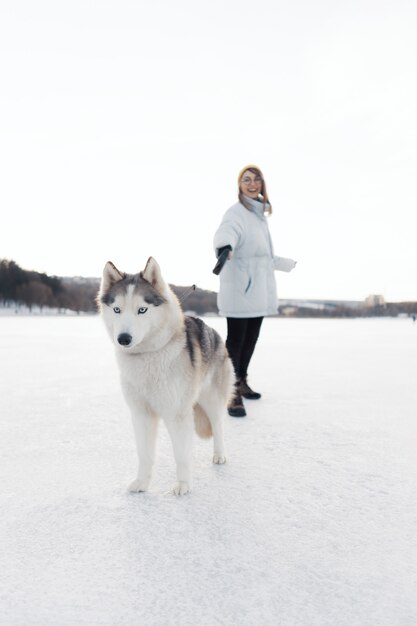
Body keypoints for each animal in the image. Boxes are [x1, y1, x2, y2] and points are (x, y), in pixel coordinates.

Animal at [97, 256, 234, 494]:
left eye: (142, 310)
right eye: (117, 310)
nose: (123, 338)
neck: (148, 354)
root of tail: (212, 331)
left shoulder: (177, 414)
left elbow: (181, 455)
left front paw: (183, 485)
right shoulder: (141, 414)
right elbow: (145, 454)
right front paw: (142, 483)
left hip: (212, 401)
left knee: (218, 427)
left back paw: (219, 455)